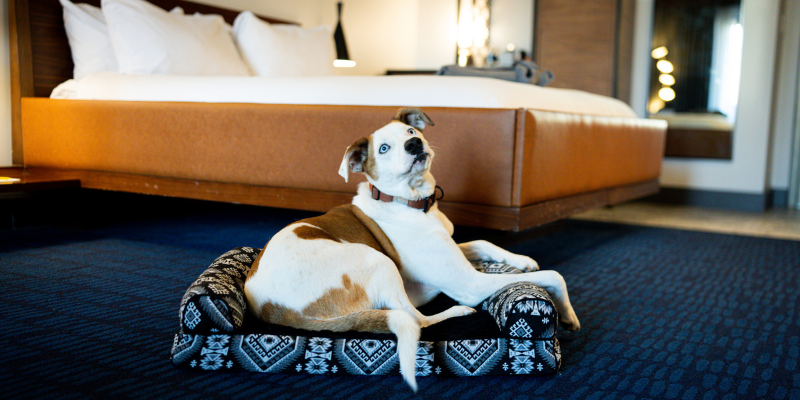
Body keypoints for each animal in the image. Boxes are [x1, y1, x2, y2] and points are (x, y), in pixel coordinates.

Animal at [244, 107, 580, 391]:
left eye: (410, 131)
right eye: (383, 148)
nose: (414, 144)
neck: (412, 202)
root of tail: (269, 308)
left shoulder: (454, 247)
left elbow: (484, 242)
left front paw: (521, 259)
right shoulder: (469, 282)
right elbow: (555, 275)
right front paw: (567, 313)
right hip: (378, 260)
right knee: (415, 318)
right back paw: (457, 311)